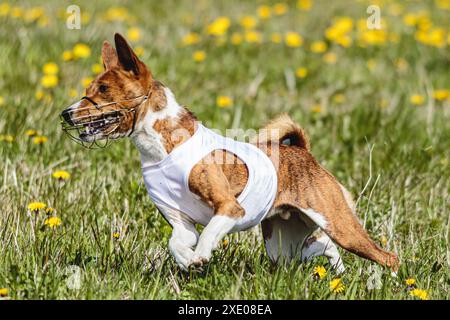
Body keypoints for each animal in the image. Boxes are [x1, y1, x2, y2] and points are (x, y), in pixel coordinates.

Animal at [59, 33, 398, 272]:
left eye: (103, 91)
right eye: (88, 90)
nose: (66, 113)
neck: (162, 147)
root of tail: (303, 152)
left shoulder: (230, 208)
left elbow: (209, 233)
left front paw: (200, 256)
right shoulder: (180, 222)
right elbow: (176, 244)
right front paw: (187, 261)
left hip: (339, 224)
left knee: (386, 256)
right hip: (285, 243)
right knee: (321, 248)